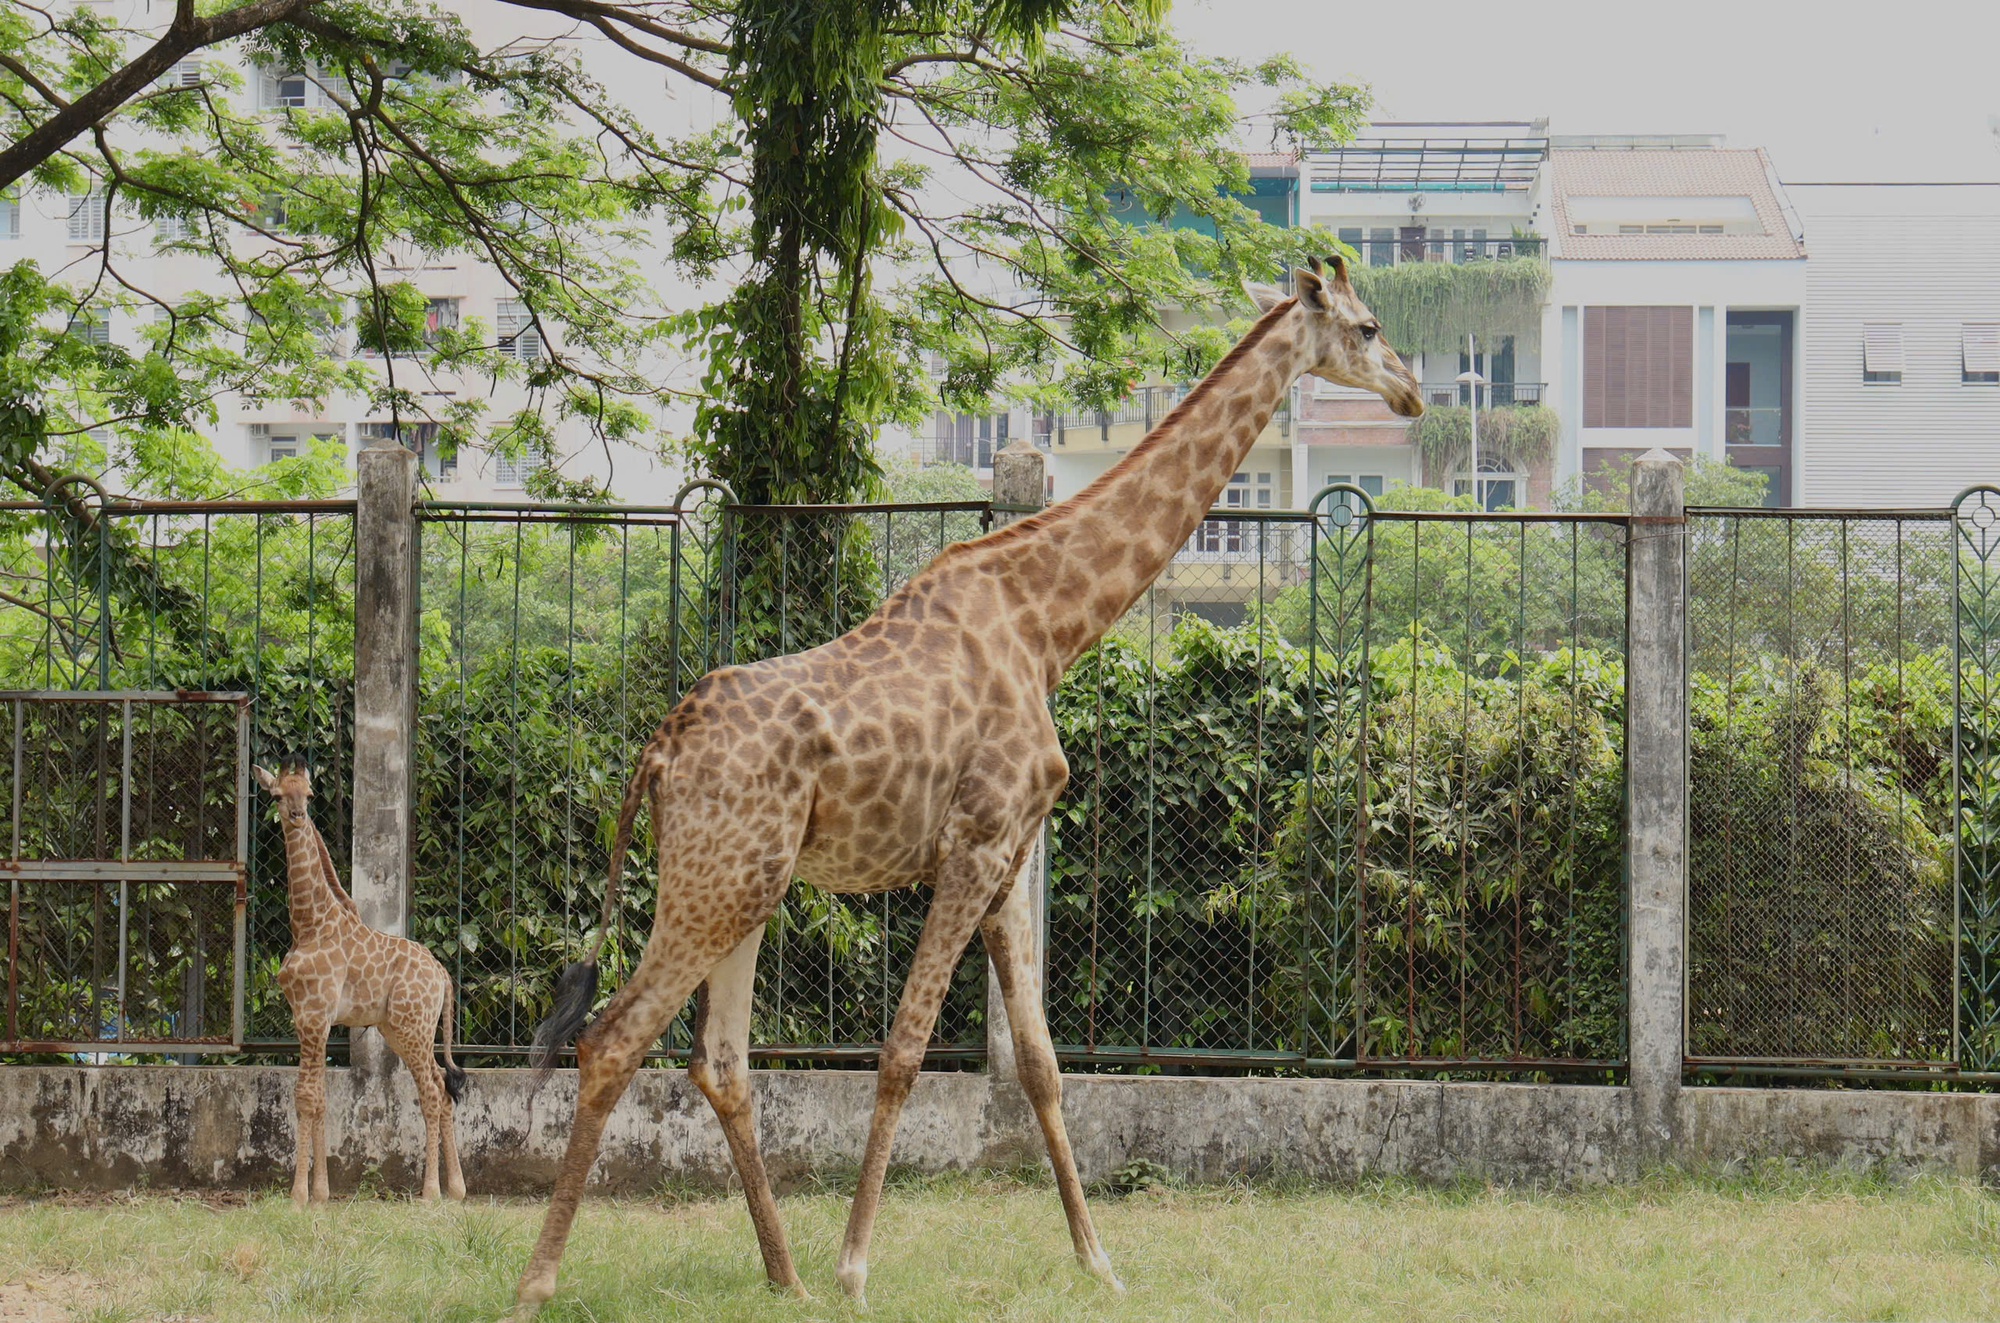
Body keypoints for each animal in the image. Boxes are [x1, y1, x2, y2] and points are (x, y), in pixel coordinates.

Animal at [258, 763, 468, 1207]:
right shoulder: (307, 1019)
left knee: (432, 1092)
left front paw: (298, 1196)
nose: (297, 816)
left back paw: (430, 1193)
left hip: (413, 1026)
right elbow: (320, 1099)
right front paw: (321, 1193)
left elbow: (305, 1097)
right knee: (443, 1088)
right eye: (277, 795)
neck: (308, 925)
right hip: (400, 1029)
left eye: (310, 793)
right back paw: (456, 1189)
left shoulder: (314, 1016)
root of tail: (441, 973)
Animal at [516, 255, 1424, 1319]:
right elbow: (905, 1048)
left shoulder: (1011, 850)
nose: (1412, 393)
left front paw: (1098, 1262)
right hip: (717, 879)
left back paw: (782, 1275)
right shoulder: (974, 841)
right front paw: (857, 1266)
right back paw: (544, 1278)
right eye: (1367, 328)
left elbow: (1039, 1061)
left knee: (720, 1059)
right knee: (615, 1039)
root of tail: (659, 750)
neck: (1048, 623)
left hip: (744, 883)